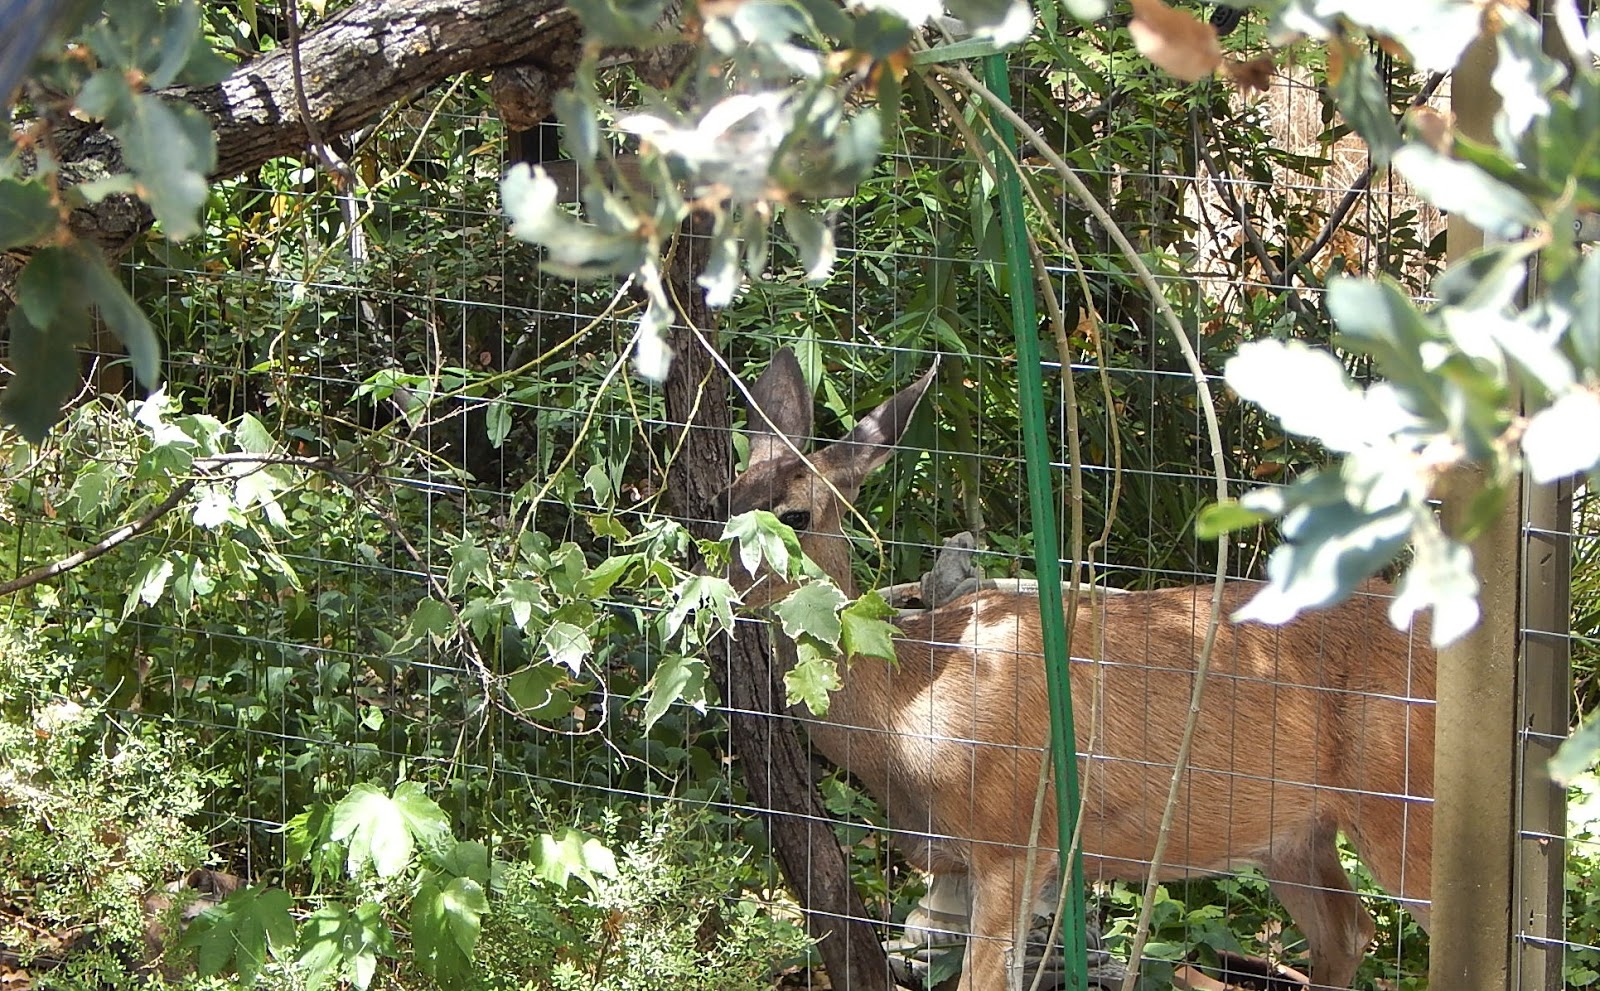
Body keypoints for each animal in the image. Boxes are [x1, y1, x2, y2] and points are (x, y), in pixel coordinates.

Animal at [721, 348, 1436, 991]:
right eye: (723, 497)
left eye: (794, 516)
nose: (714, 581)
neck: (908, 710)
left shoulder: (1013, 838)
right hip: (1295, 833)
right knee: (1349, 932)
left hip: (1403, 797)